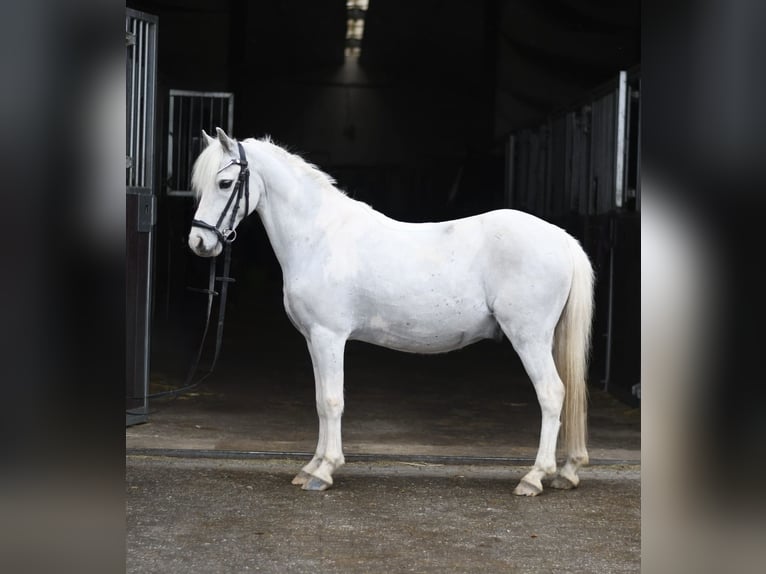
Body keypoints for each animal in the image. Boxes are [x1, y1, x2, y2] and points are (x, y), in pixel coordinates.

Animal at [188, 128, 594, 496]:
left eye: (225, 182)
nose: (199, 243)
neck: (319, 237)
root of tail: (561, 238)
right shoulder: (314, 340)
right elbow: (320, 401)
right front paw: (311, 467)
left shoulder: (329, 336)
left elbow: (332, 402)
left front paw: (325, 471)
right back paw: (567, 472)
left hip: (529, 338)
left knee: (552, 394)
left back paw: (534, 477)